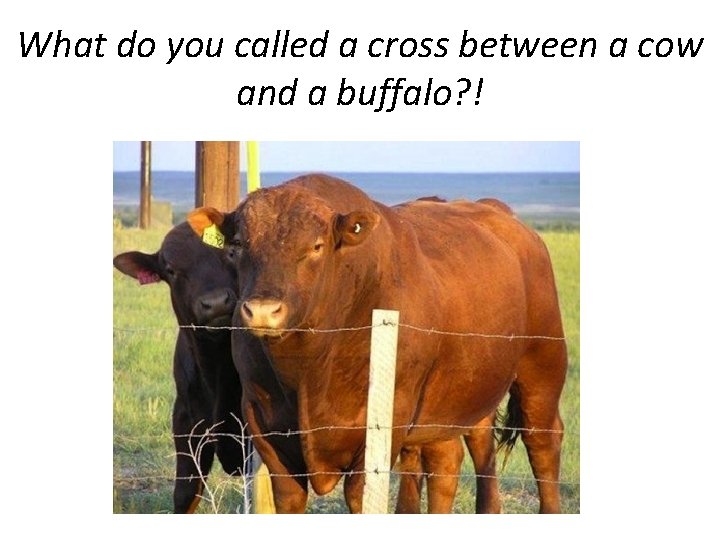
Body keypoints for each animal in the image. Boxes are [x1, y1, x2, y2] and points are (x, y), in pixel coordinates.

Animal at [188, 174, 567, 513]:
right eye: (237, 246)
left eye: (316, 246)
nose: (263, 311)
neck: (308, 369)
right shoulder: (263, 422)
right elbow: (290, 497)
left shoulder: (386, 422)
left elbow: (361, 495)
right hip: (458, 395)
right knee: (452, 457)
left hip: (542, 368)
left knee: (542, 441)